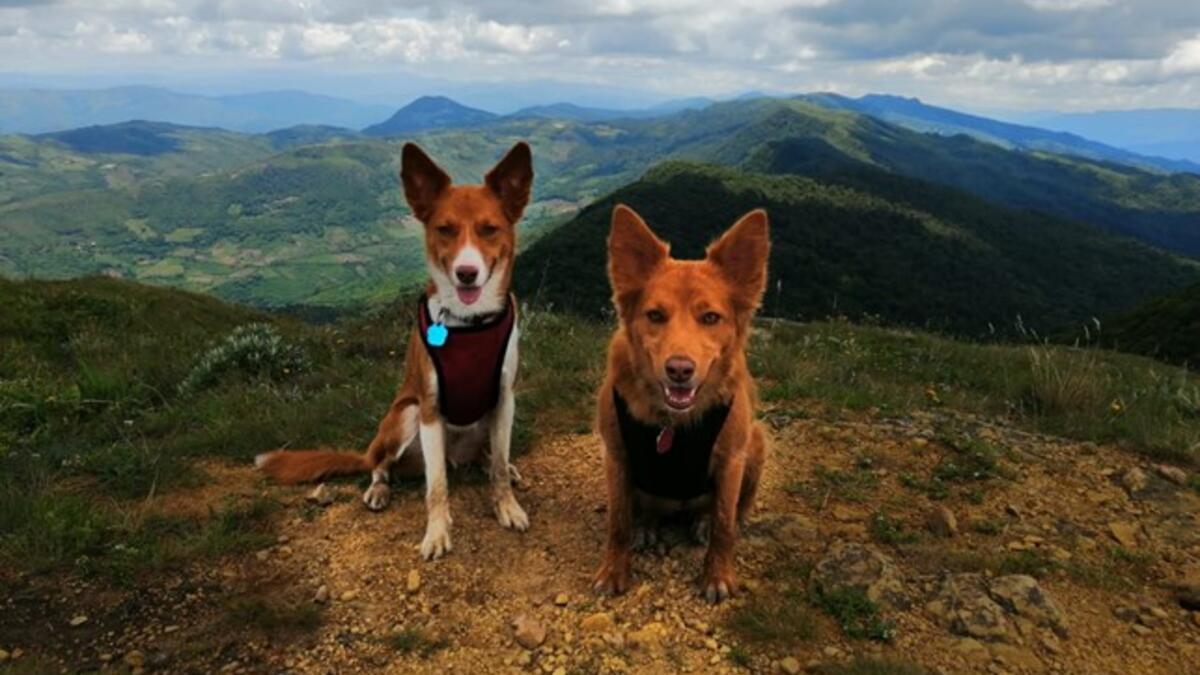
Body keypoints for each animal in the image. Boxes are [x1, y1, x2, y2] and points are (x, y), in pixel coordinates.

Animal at [260, 140, 537, 557]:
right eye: (444, 229)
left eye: (490, 229)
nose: (466, 273)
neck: (468, 322)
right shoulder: (429, 408)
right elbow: (436, 487)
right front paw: (436, 533)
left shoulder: (505, 399)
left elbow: (502, 466)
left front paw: (507, 505)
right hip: (404, 416)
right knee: (380, 466)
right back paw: (378, 489)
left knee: (487, 457)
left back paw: (490, 464)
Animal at [590, 201, 768, 600]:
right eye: (655, 315)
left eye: (711, 317)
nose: (679, 370)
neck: (671, 420)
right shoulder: (616, 457)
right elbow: (617, 523)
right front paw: (614, 570)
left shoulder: (732, 460)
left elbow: (724, 524)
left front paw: (717, 575)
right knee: (644, 512)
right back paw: (647, 525)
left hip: (758, 442)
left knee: (729, 511)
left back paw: (701, 522)